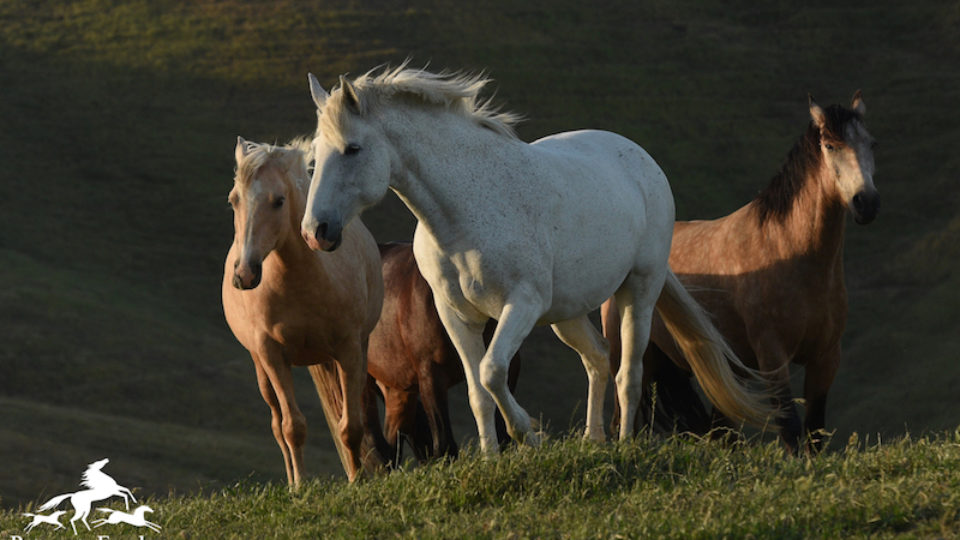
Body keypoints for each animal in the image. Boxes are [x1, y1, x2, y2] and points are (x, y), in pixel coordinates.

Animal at [222, 137, 385, 484]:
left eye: (279, 201)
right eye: (234, 200)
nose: (244, 274)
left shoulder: (349, 350)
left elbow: (350, 426)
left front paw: (356, 481)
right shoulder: (271, 355)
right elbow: (291, 427)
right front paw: (300, 487)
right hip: (261, 367)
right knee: (276, 424)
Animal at [601, 92, 878, 452]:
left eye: (871, 143)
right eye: (830, 146)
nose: (866, 203)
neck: (789, 251)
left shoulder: (826, 357)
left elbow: (815, 432)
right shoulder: (772, 358)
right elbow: (791, 428)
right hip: (632, 353)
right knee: (626, 414)